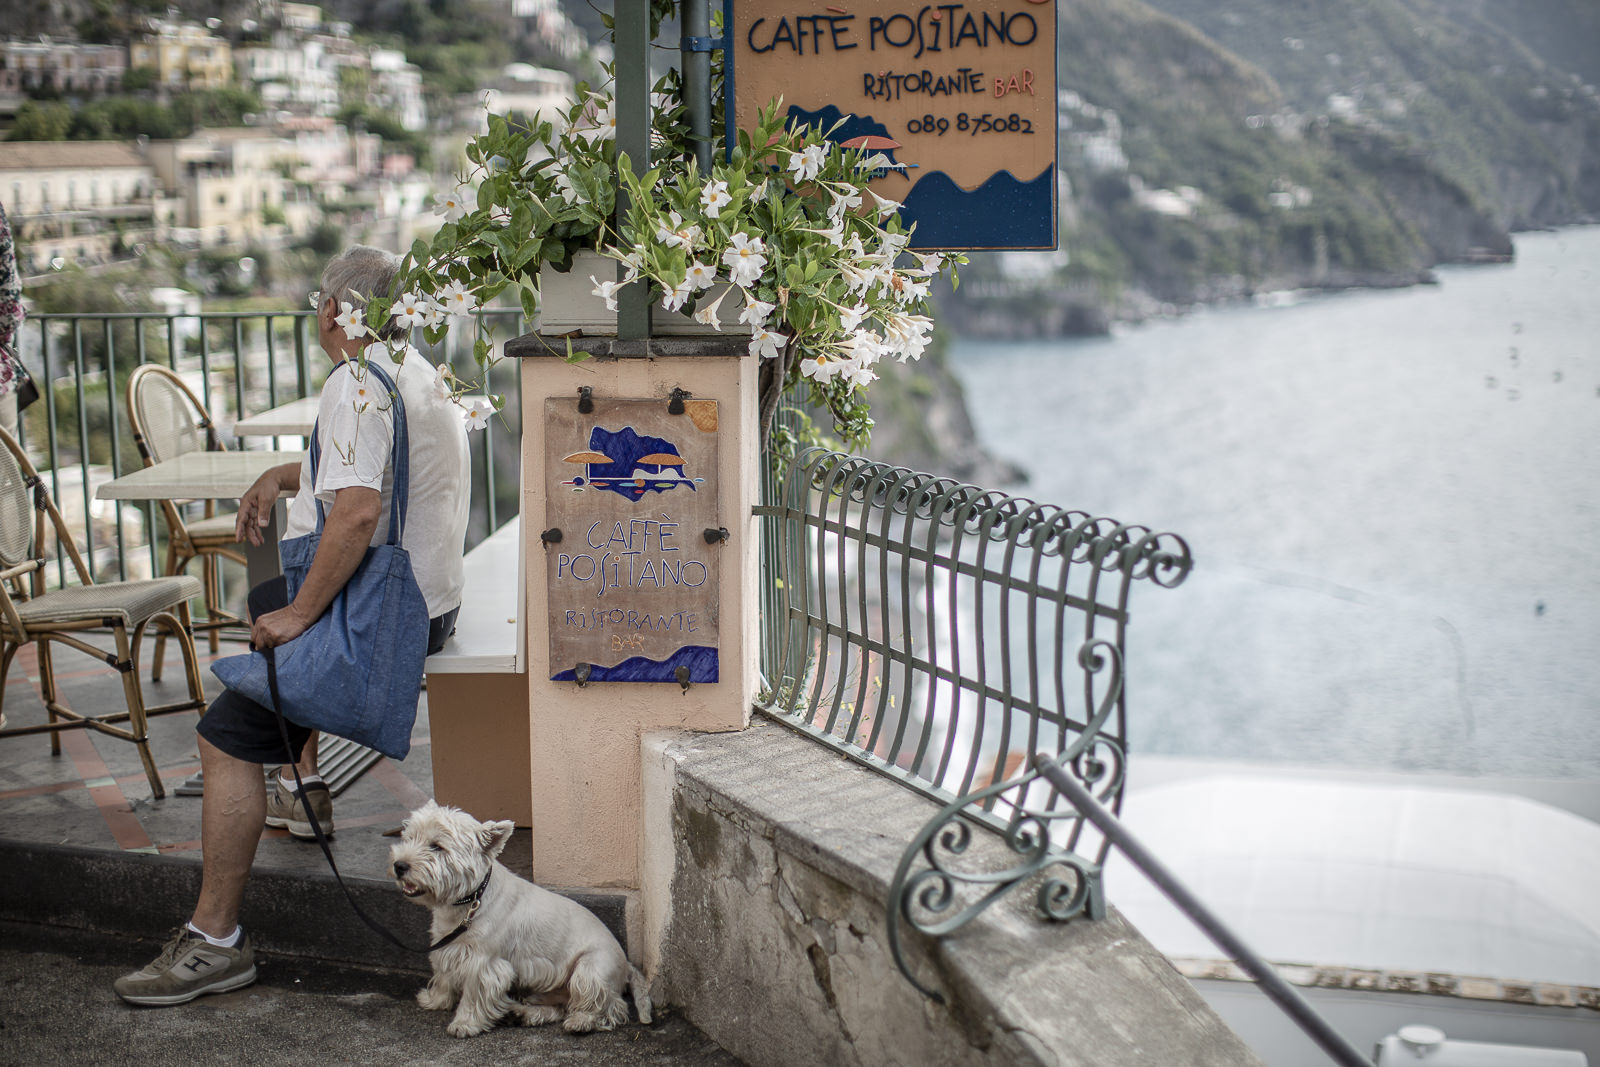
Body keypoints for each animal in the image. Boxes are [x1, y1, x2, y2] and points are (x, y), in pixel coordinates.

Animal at [387, 806, 649, 1036]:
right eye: (409, 837)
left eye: (437, 846)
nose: (399, 865)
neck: (470, 900)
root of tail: (627, 965)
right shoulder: (446, 947)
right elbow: (443, 977)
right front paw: (435, 1000)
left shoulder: (483, 963)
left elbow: (473, 994)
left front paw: (464, 1023)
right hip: (544, 989)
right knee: (558, 1007)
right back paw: (522, 1013)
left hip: (590, 969)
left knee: (607, 1006)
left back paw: (581, 1021)